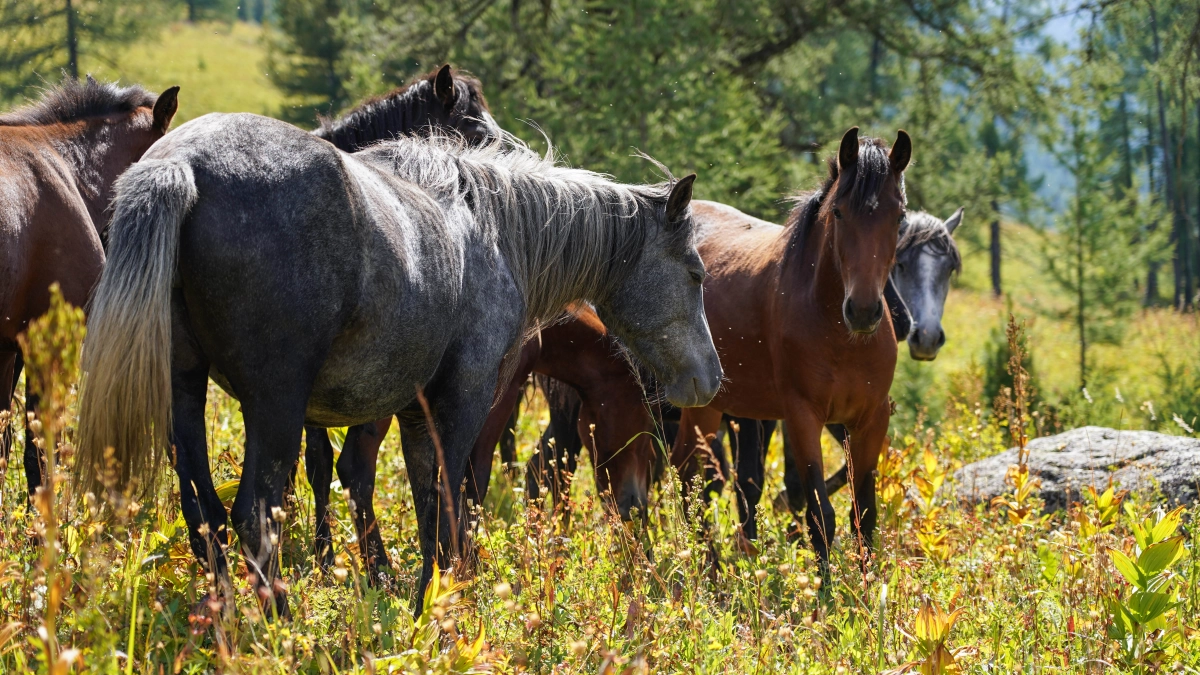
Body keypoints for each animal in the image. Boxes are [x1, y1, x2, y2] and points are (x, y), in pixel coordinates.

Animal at [82, 115, 720, 614]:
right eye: (696, 272)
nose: (710, 379)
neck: (495, 229)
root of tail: (181, 163)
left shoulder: (414, 412)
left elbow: (424, 497)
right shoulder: (462, 401)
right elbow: (447, 498)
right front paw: (435, 606)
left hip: (183, 395)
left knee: (205, 515)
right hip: (276, 406)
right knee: (253, 517)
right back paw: (280, 629)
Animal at [676, 126, 907, 566]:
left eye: (900, 218)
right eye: (839, 213)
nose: (863, 311)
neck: (840, 336)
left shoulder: (870, 420)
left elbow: (864, 515)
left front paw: (869, 585)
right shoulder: (802, 417)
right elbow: (820, 515)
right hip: (701, 409)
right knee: (688, 476)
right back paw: (702, 566)